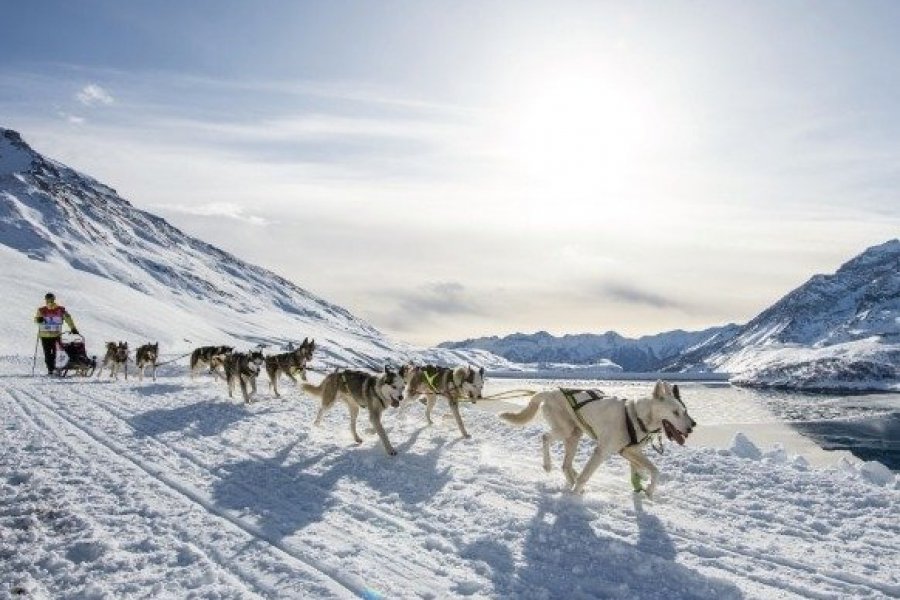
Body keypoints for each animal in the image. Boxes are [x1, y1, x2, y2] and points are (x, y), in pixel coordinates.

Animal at [500, 380, 696, 496]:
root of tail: (549, 391)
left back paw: (571, 476)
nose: (692, 426)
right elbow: (585, 477)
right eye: (675, 412)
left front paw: (646, 487)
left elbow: (654, 470)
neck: (636, 417)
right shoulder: (601, 452)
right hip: (566, 430)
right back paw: (549, 466)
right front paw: (573, 499)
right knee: (545, 437)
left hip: (574, 435)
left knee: (566, 465)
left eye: (685, 411)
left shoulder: (629, 452)